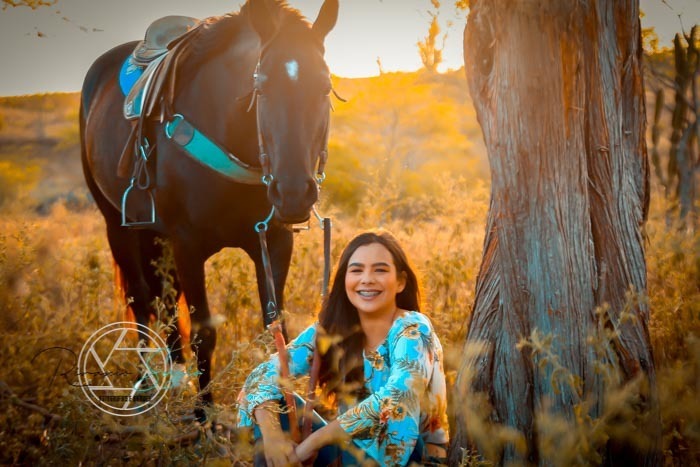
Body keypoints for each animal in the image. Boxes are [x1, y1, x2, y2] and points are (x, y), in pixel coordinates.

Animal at [79, 0, 338, 417]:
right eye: (261, 86)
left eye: (325, 87)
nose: (294, 192)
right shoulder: (188, 244)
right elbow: (203, 333)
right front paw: (204, 419)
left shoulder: (274, 241)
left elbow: (276, 329)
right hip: (117, 226)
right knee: (142, 301)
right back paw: (146, 384)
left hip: (156, 236)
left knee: (166, 302)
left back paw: (173, 377)